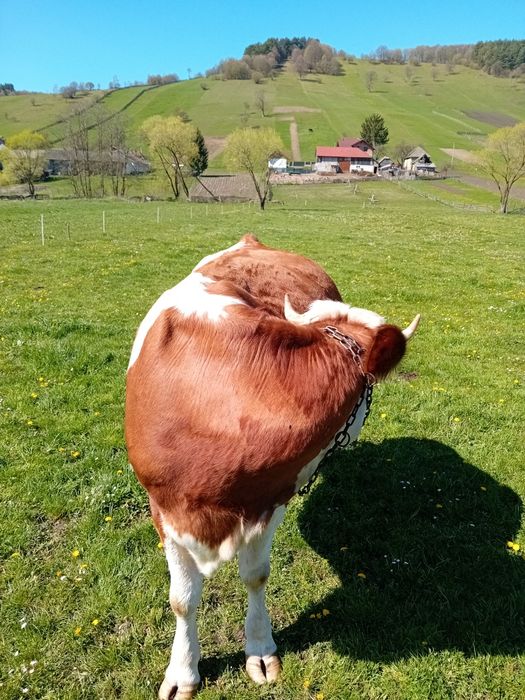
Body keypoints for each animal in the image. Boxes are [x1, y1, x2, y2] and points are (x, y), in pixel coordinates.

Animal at [125, 234, 419, 699]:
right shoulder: (164, 507)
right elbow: (182, 599)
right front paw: (183, 671)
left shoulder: (272, 498)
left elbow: (256, 576)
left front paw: (260, 648)